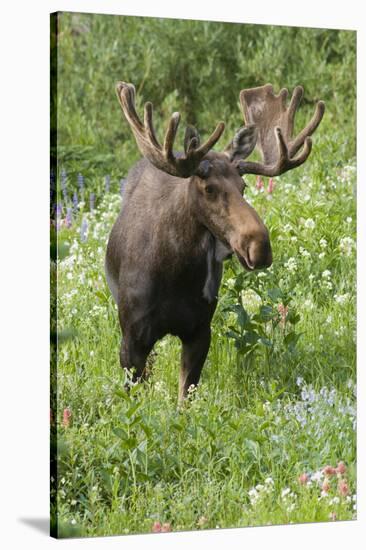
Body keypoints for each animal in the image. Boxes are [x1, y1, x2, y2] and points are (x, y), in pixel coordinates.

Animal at [104, 81, 324, 402]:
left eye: (243, 186)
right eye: (208, 188)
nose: (260, 246)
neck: (176, 274)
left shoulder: (199, 330)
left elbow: (185, 397)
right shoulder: (132, 337)